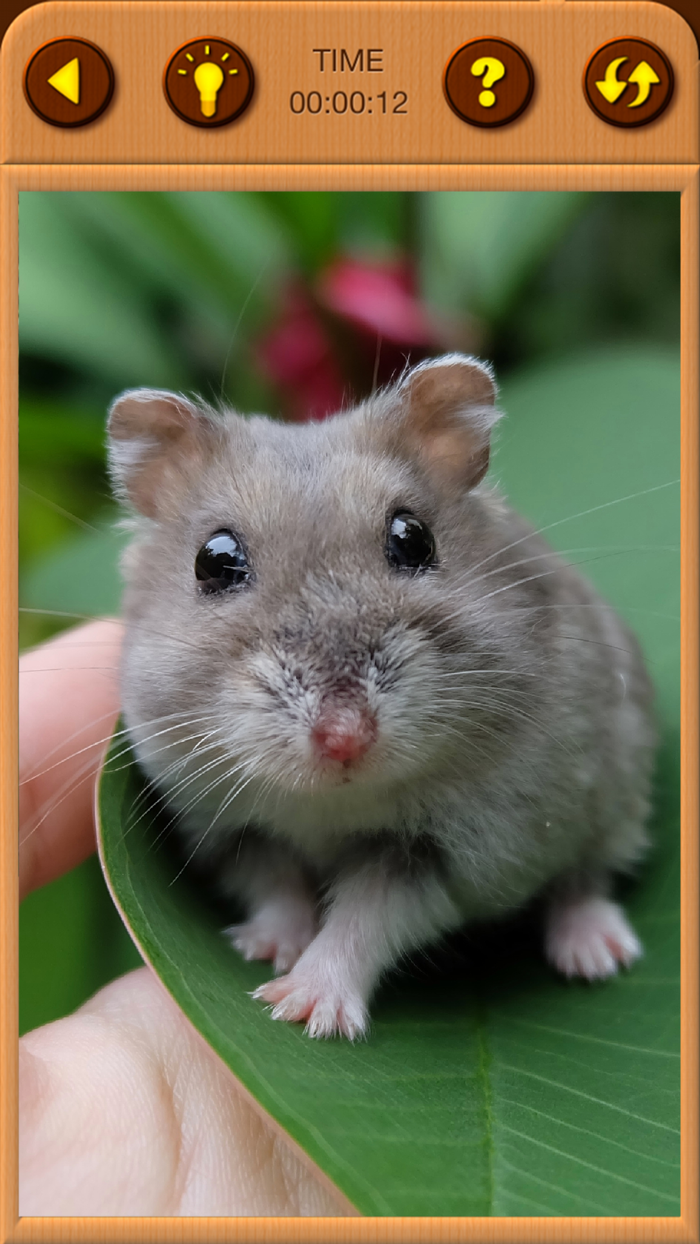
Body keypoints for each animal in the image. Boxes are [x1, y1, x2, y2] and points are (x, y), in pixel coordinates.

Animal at [107, 354, 655, 1039]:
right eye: (214, 559)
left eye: (413, 538)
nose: (344, 740)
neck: (328, 804)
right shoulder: (227, 827)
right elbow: (277, 886)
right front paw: (267, 950)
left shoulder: (442, 853)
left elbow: (365, 920)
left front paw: (302, 1009)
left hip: (619, 790)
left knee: (586, 876)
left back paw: (598, 956)